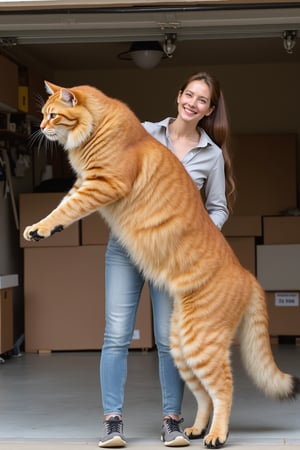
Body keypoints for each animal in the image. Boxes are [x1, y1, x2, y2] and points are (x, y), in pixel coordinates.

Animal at [24, 82, 298, 448]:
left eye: (52, 114)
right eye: (42, 114)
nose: (40, 128)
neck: (97, 126)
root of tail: (248, 274)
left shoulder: (103, 184)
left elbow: (66, 210)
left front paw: (40, 229)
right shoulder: (85, 184)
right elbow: (61, 206)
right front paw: (38, 227)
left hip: (202, 341)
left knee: (224, 389)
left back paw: (216, 435)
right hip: (182, 344)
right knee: (203, 395)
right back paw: (192, 430)